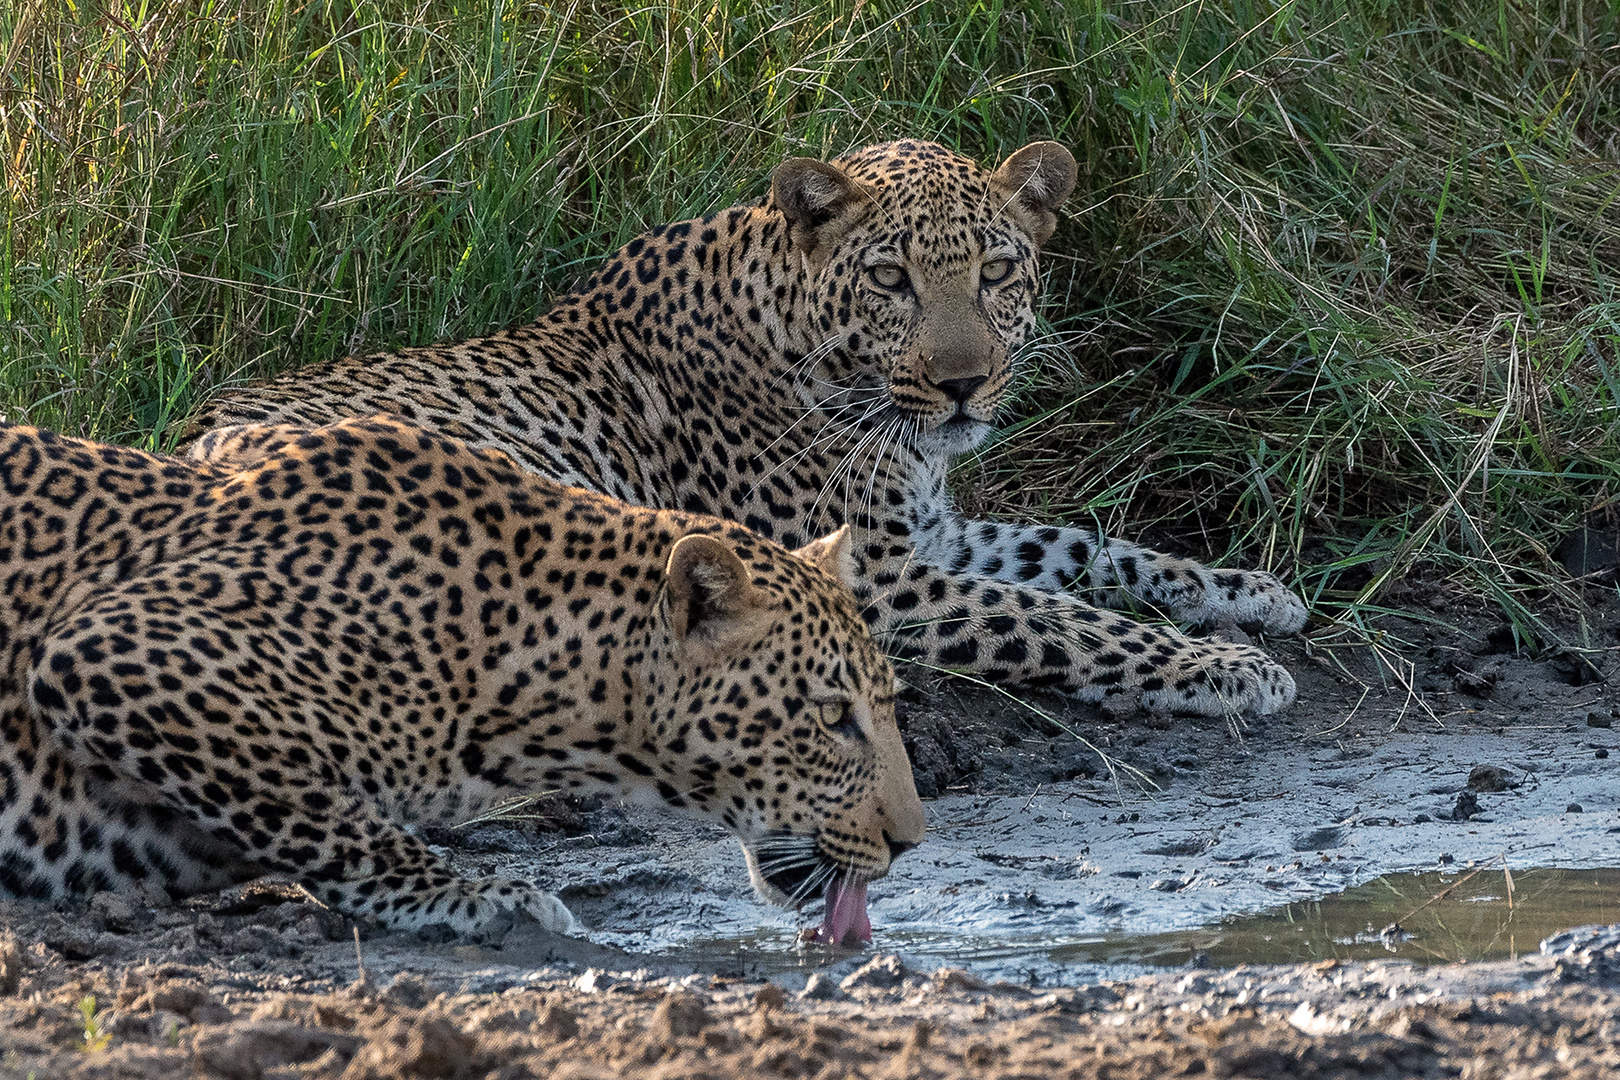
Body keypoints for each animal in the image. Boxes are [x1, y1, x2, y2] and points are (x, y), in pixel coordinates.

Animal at [0, 417, 926, 939]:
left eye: (884, 706)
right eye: (831, 716)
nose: (912, 842)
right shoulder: (110, 647)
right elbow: (335, 819)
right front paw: (486, 897)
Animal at [183, 141, 1308, 718]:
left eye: (997, 272)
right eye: (891, 280)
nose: (964, 385)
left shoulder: (929, 531)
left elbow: (1081, 546)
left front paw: (1245, 592)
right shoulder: (877, 575)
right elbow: (1051, 615)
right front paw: (1222, 667)